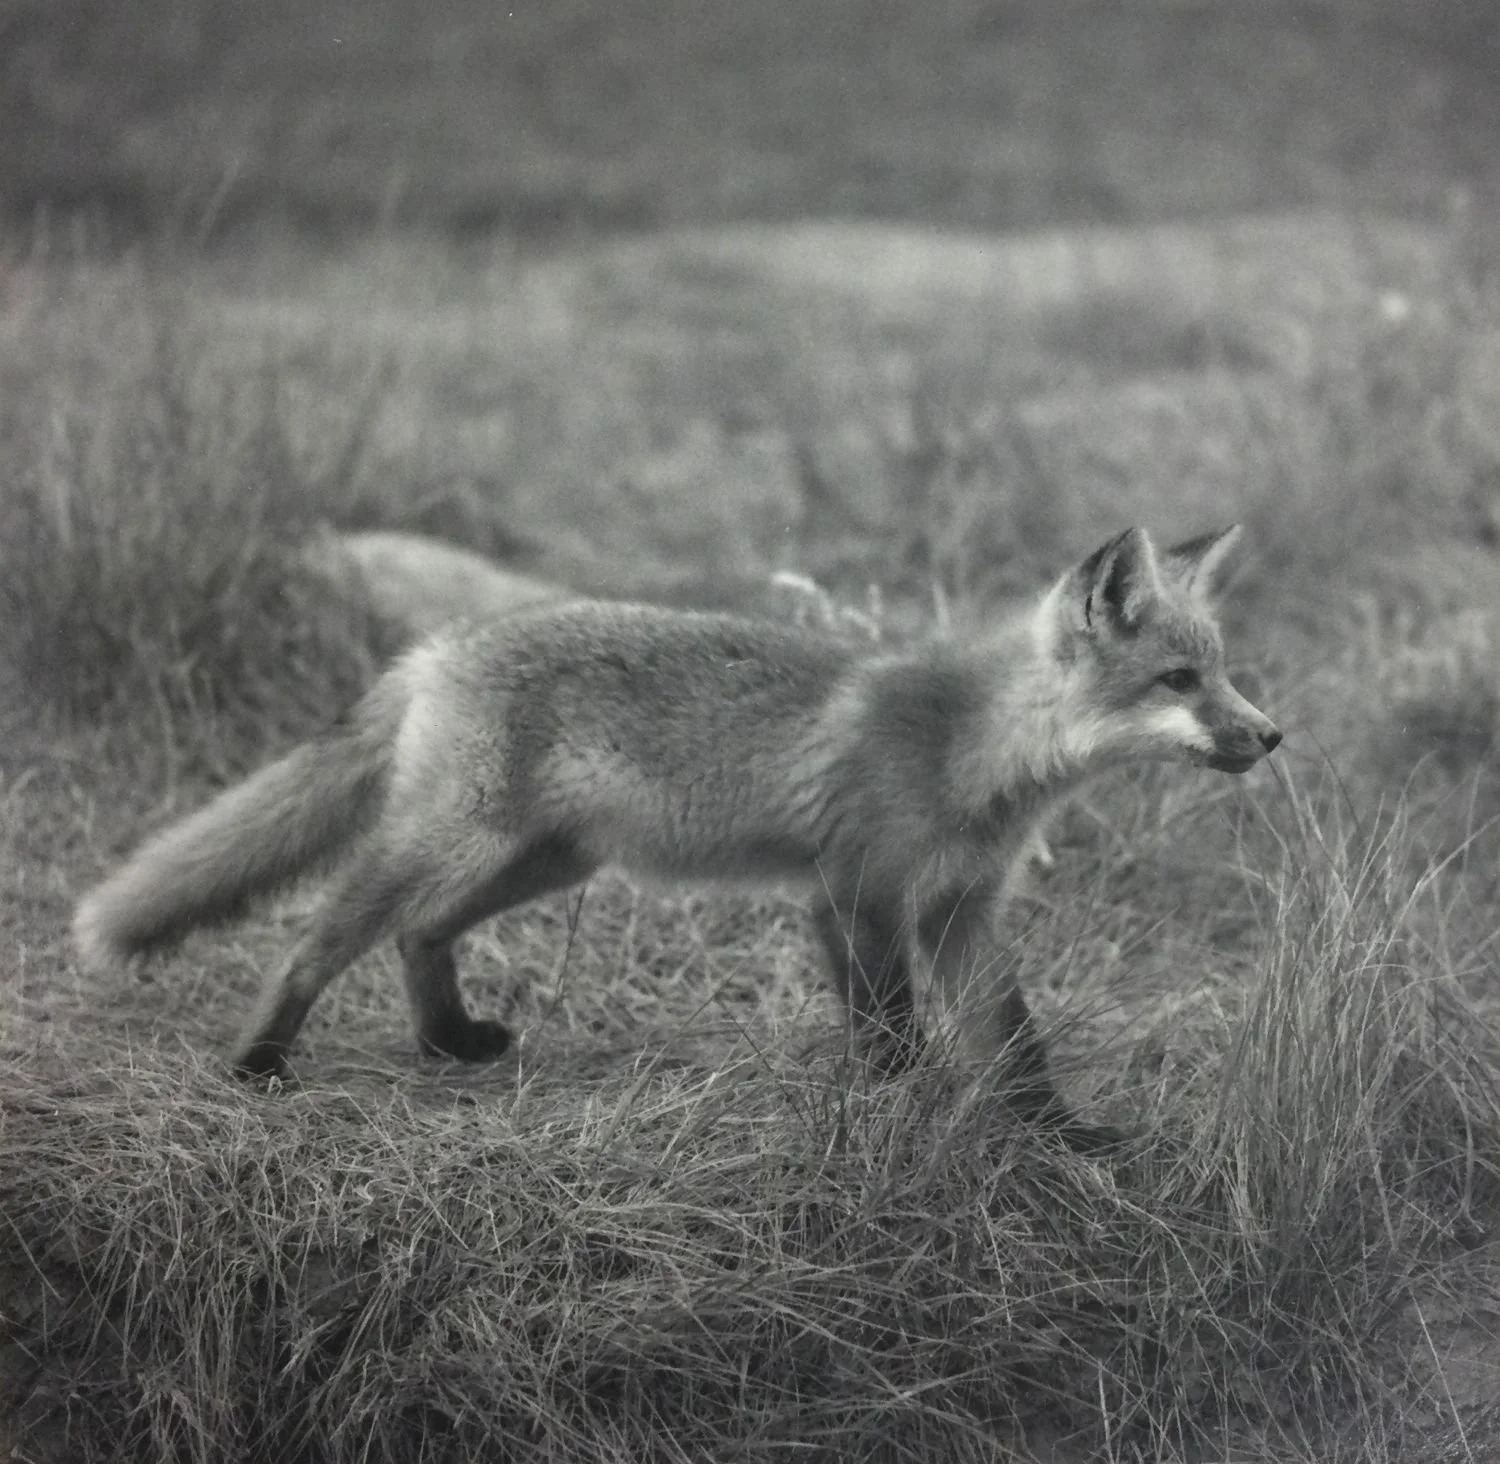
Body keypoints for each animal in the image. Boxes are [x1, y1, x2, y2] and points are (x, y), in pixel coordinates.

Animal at [74, 525, 1279, 1148]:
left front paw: (1059, 1136)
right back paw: (259, 1061)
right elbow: (891, 1031)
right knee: (320, 935)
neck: (975, 752)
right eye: (1180, 680)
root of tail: (438, 647)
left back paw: (449, 1041)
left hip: (545, 858)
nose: (1271, 735)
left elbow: (1015, 1041)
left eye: (1222, 671)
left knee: (421, 934)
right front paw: (907, 1113)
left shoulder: (959, 910)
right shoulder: (853, 894)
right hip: (456, 841)